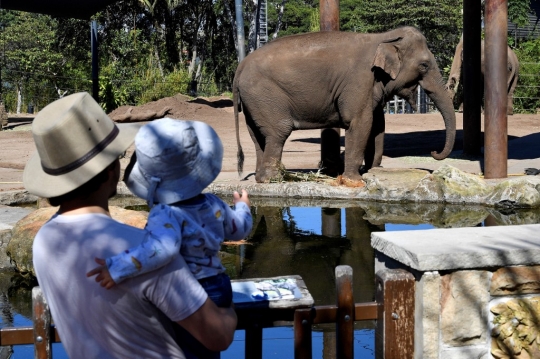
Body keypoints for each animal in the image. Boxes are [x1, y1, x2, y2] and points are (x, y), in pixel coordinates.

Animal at [232, 26, 456, 183]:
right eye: (424, 65)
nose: (434, 152)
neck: (383, 37)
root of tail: (240, 67)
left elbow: (378, 125)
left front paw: (373, 172)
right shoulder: (359, 80)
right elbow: (361, 122)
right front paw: (354, 180)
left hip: (254, 101)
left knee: (258, 136)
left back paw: (262, 177)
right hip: (264, 95)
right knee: (279, 131)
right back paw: (274, 179)